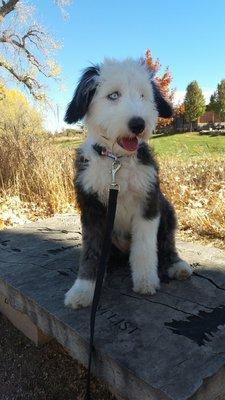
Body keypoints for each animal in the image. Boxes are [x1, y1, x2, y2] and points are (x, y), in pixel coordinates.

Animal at [63, 57, 192, 310]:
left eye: (143, 96)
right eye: (113, 95)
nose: (138, 124)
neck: (117, 162)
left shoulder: (148, 204)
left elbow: (144, 248)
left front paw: (146, 280)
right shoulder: (91, 210)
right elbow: (90, 252)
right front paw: (83, 290)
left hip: (167, 209)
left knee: (166, 243)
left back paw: (176, 265)